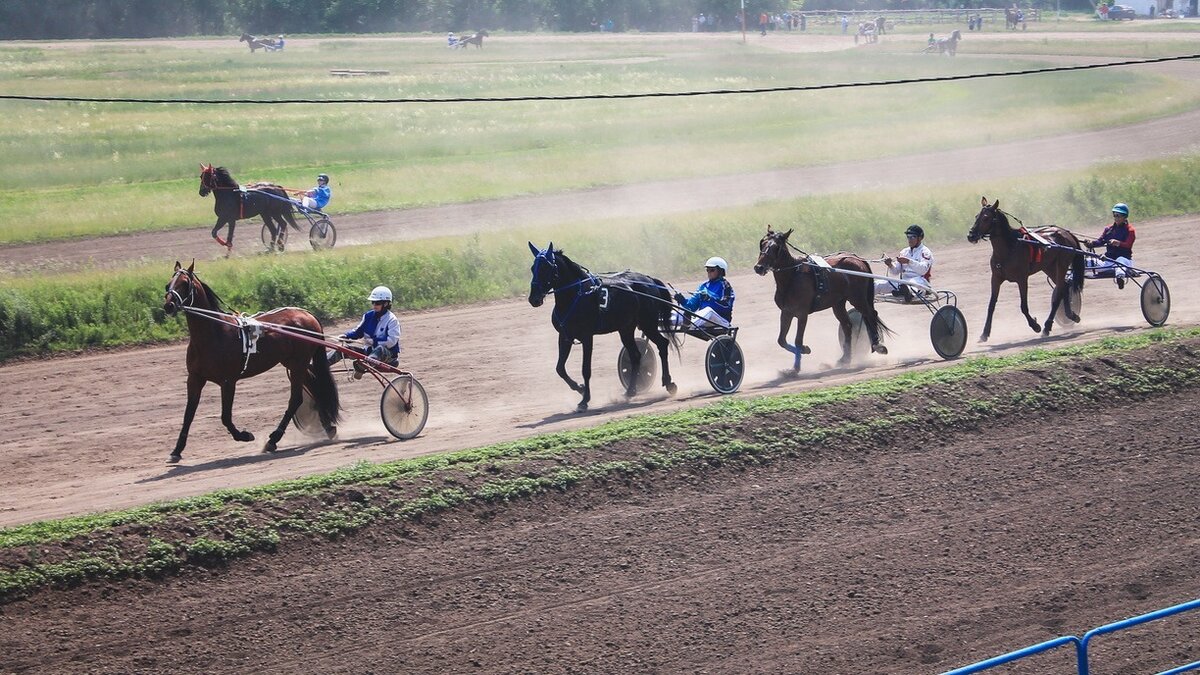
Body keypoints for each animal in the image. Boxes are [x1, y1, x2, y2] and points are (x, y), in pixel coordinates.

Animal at [159, 260, 338, 458]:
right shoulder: (195, 378)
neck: (214, 333)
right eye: (168, 285)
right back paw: (328, 427)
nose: (169, 306)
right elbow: (188, 414)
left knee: (296, 399)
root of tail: (308, 314)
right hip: (294, 364)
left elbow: (225, 417)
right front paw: (177, 450)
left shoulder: (228, 381)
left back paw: (273, 439)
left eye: (184, 283)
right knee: (316, 389)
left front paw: (244, 435)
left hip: (298, 364)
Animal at [530, 241, 681, 410]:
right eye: (532, 268)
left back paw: (668, 383)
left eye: (545, 268)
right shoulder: (564, 336)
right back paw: (630, 391)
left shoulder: (587, 337)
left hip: (648, 324)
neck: (575, 296)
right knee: (636, 355)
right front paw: (580, 388)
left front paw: (584, 400)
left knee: (662, 344)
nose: (534, 298)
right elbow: (560, 368)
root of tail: (649, 280)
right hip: (626, 328)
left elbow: (586, 369)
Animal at [748, 225, 892, 372]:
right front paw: (803, 352)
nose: (759, 267)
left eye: (776, 247)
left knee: (870, 314)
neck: (793, 276)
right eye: (763, 244)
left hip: (857, 298)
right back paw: (845, 358)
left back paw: (877, 345)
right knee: (847, 325)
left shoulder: (802, 314)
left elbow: (798, 340)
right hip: (838, 303)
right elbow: (781, 340)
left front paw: (796, 367)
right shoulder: (786, 312)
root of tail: (857, 259)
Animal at [964, 195, 1089, 341]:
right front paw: (984, 333)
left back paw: (1047, 327)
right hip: (1050, 267)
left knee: (1059, 292)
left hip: (1061, 265)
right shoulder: (996, 278)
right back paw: (1071, 315)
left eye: (986, 218)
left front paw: (1035, 326)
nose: (970, 235)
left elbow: (1023, 306)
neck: (1009, 248)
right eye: (976, 216)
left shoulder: (1022, 279)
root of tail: (1066, 233)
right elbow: (991, 305)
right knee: (1063, 287)